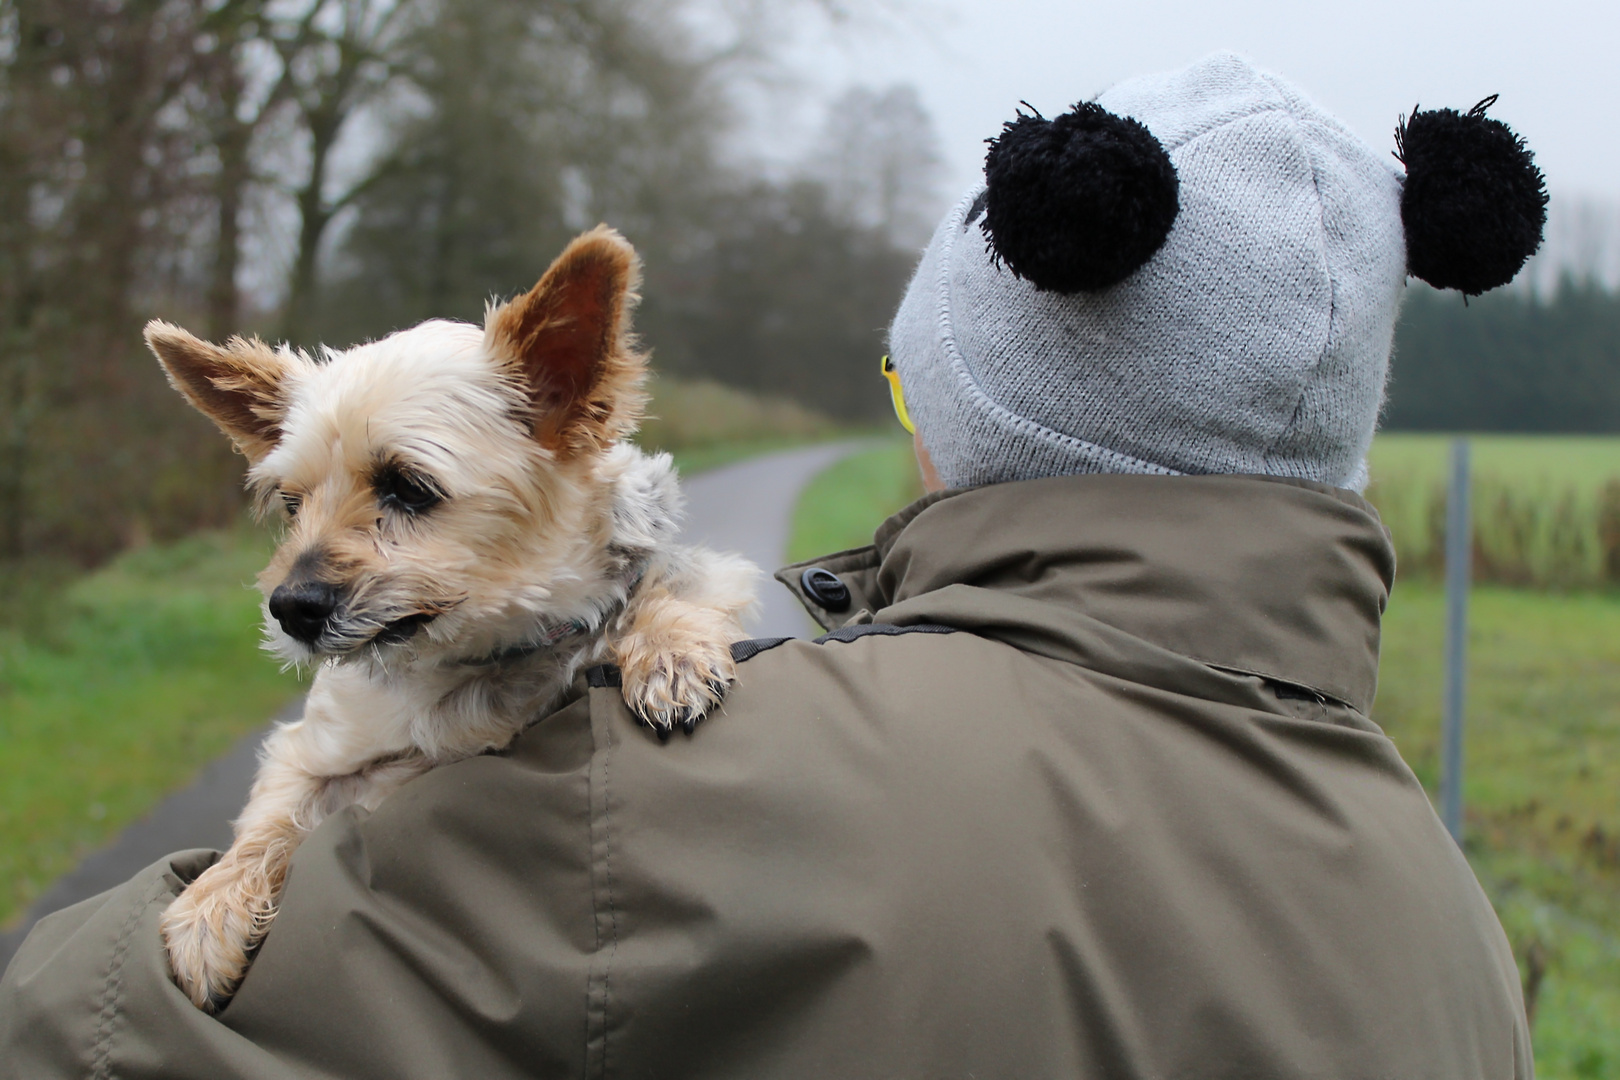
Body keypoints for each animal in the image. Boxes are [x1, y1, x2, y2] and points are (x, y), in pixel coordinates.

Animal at [144, 223, 758, 1010]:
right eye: (291, 504)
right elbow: (272, 814)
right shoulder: (314, 751)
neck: (481, 654)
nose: (289, 608)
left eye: (409, 487)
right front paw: (210, 907)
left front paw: (668, 651)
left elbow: (655, 593)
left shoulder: (698, 578)